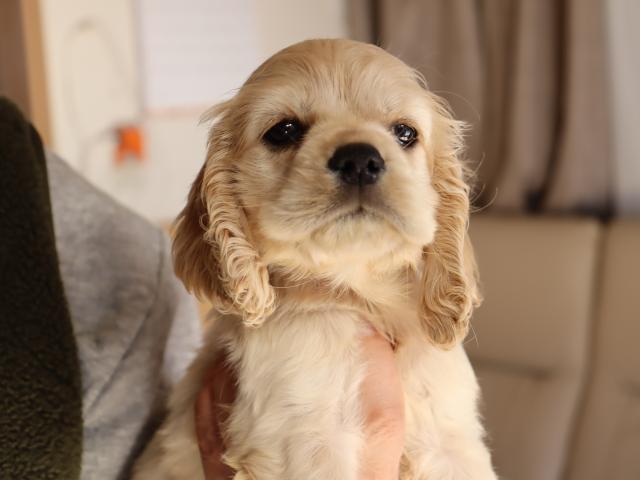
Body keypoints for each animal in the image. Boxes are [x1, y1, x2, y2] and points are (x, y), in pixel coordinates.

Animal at [133, 38, 496, 479]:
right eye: (284, 131)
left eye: (405, 133)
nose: (359, 159)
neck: (360, 296)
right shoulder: (309, 438)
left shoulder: (450, 441)